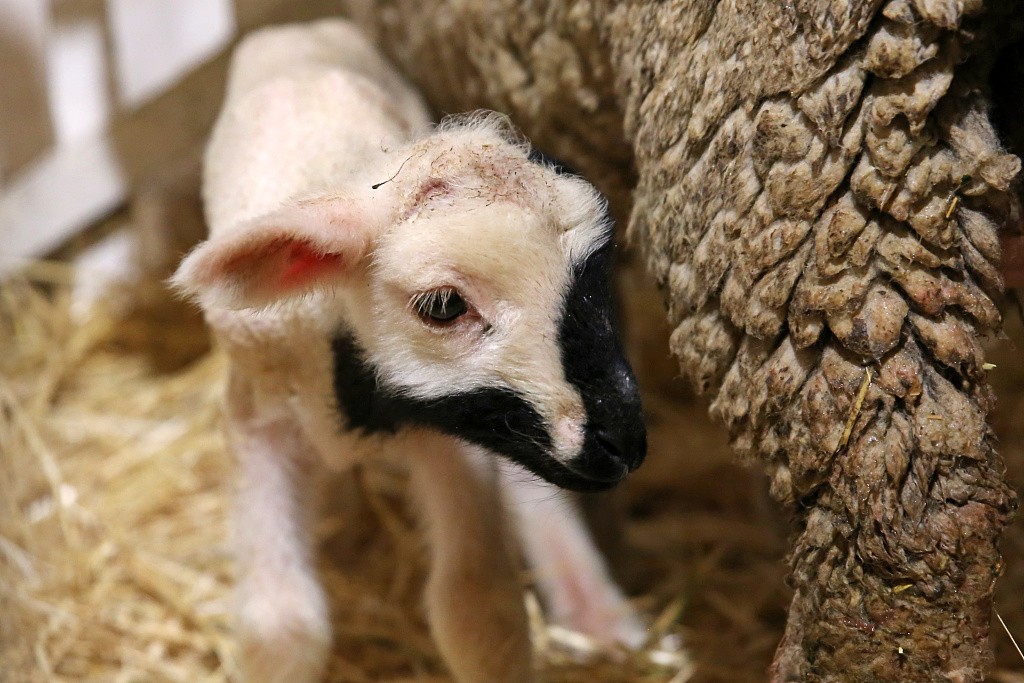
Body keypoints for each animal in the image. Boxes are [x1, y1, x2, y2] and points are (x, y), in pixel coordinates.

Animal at [171, 19, 647, 683]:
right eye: (444, 306)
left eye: (596, 279)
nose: (624, 442)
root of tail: (300, 26)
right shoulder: (255, 416)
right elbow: (281, 628)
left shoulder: (450, 436)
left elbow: (478, 614)